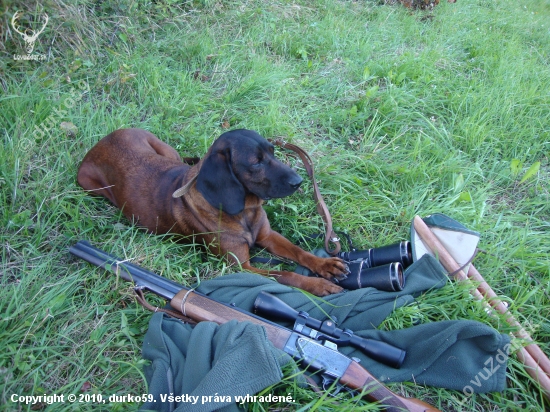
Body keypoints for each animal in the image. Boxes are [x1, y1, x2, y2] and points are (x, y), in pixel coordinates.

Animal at [77, 130, 350, 296]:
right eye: (256, 162)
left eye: (273, 152)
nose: (299, 181)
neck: (244, 210)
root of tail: (103, 140)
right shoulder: (243, 267)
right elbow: (285, 273)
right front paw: (317, 285)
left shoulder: (268, 236)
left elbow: (299, 252)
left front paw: (325, 265)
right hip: (90, 186)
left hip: (167, 151)